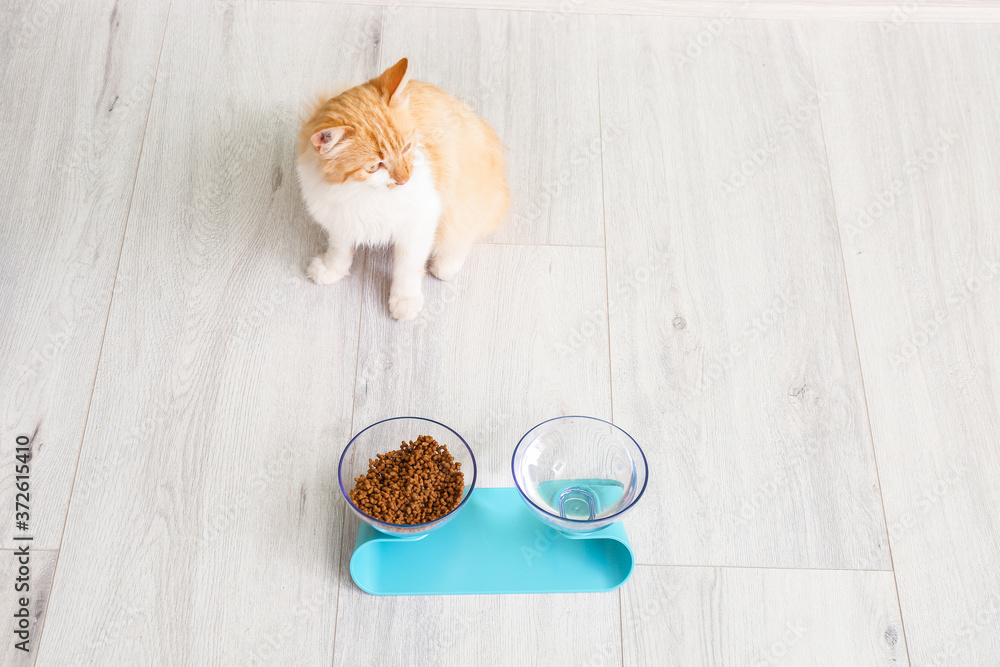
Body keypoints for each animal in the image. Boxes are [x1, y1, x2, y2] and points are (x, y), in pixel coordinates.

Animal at [296, 57, 508, 320]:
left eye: (406, 147)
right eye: (374, 166)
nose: (405, 179)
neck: (363, 193)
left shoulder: (420, 222)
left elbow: (407, 268)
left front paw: (404, 301)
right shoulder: (341, 217)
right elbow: (339, 250)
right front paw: (330, 269)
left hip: (464, 197)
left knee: (463, 233)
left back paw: (445, 265)